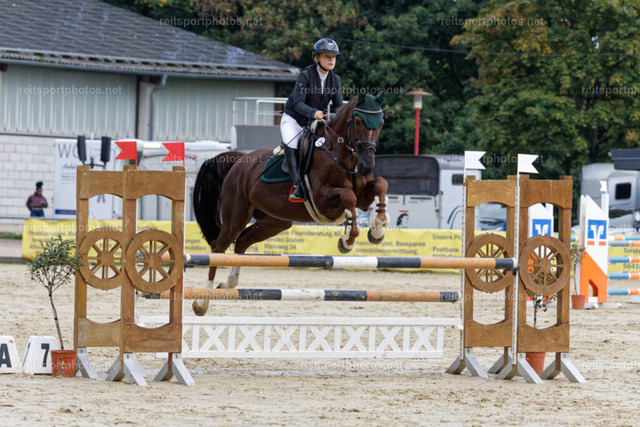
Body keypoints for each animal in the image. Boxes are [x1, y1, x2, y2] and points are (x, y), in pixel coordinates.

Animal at [191, 92, 390, 316]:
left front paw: (377, 230)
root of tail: (240, 161)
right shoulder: (323, 200)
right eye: (357, 121)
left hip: (274, 222)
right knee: (218, 247)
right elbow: (349, 197)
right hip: (236, 216)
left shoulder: (363, 196)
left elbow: (381, 184)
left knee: (241, 242)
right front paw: (348, 240)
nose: (366, 167)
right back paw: (202, 301)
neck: (340, 154)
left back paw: (227, 285)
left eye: (381, 123)